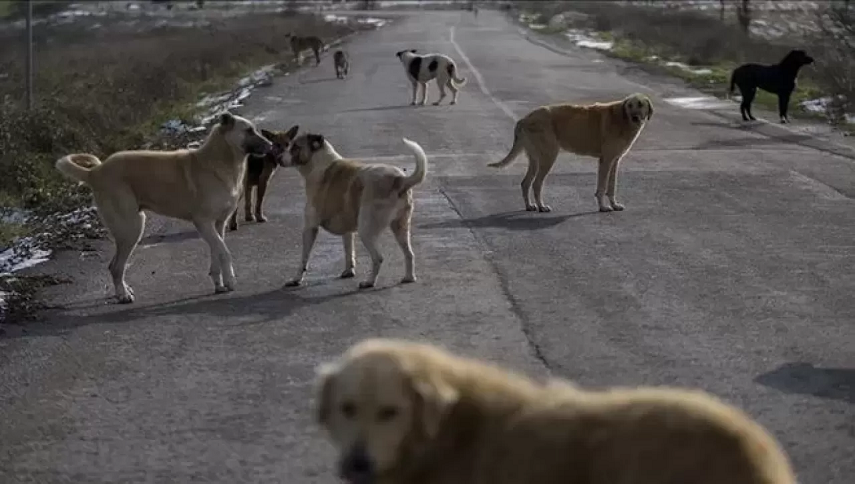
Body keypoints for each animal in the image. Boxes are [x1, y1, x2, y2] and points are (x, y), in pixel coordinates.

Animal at [56, 113, 270, 302]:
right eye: (248, 131)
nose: (270, 145)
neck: (219, 161)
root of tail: (95, 172)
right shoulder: (203, 223)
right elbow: (224, 252)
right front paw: (231, 281)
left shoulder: (218, 224)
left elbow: (216, 253)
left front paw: (219, 284)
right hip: (132, 228)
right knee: (116, 266)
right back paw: (123, 295)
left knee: (114, 265)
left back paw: (124, 291)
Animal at [280, 129, 428, 290]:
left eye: (295, 147)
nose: (278, 157)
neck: (319, 163)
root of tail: (399, 179)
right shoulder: (347, 229)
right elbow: (348, 250)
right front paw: (348, 271)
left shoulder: (310, 228)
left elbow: (303, 259)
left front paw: (296, 279)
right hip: (400, 227)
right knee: (409, 254)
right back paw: (409, 277)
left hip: (366, 230)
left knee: (378, 258)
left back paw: (369, 282)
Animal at [488, 93, 656, 213]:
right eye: (630, 105)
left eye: (640, 104)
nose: (635, 117)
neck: (622, 119)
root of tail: (524, 119)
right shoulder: (606, 161)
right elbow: (602, 187)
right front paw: (602, 207)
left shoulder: (614, 161)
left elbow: (611, 187)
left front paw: (614, 205)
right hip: (548, 157)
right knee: (536, 183)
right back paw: (541, 206)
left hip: (536, 159)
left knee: (525, 183)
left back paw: (530, 206)